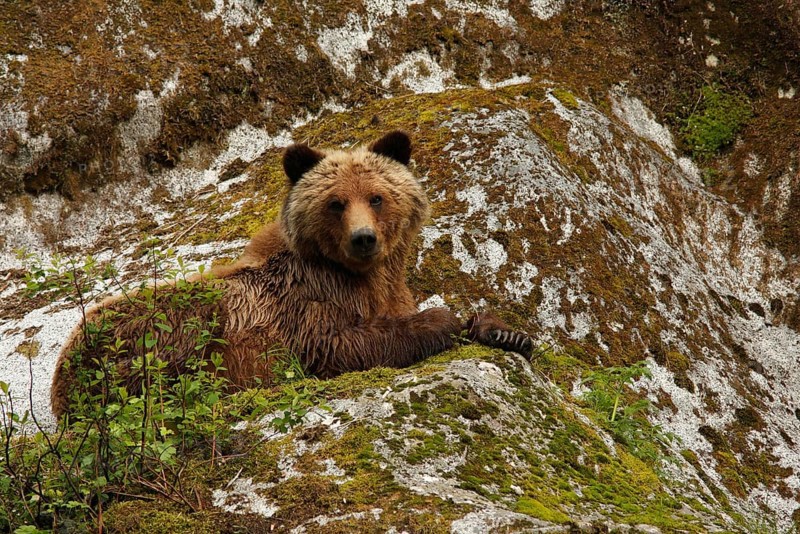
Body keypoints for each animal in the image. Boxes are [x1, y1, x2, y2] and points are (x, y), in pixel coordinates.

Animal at [50, 131, 532, 418]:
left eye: (376, 197)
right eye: (336, 202)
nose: (363, 239)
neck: (364, 276)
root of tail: (58, 383)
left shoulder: (388, 288)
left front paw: (504, 332)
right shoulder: (304, 301)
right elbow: (339, 344)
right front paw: (440, 320)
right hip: (151, 330)